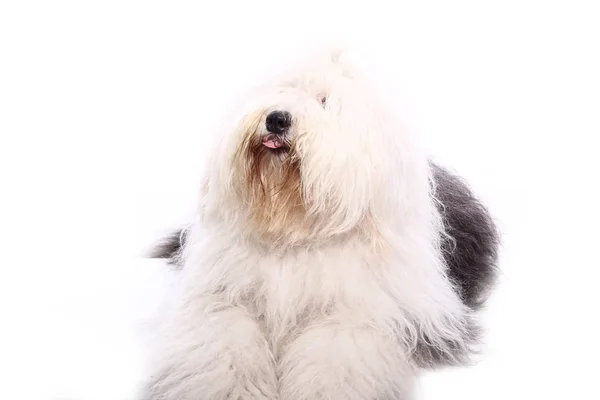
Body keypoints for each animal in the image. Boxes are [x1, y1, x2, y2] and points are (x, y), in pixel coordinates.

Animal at [139, 50, 496, 400]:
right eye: (284, 89)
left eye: (324, 101)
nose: (277, 119)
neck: (294, 229)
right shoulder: (221, 299)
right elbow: (224, 340)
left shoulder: (356, 314)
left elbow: (332, 355)